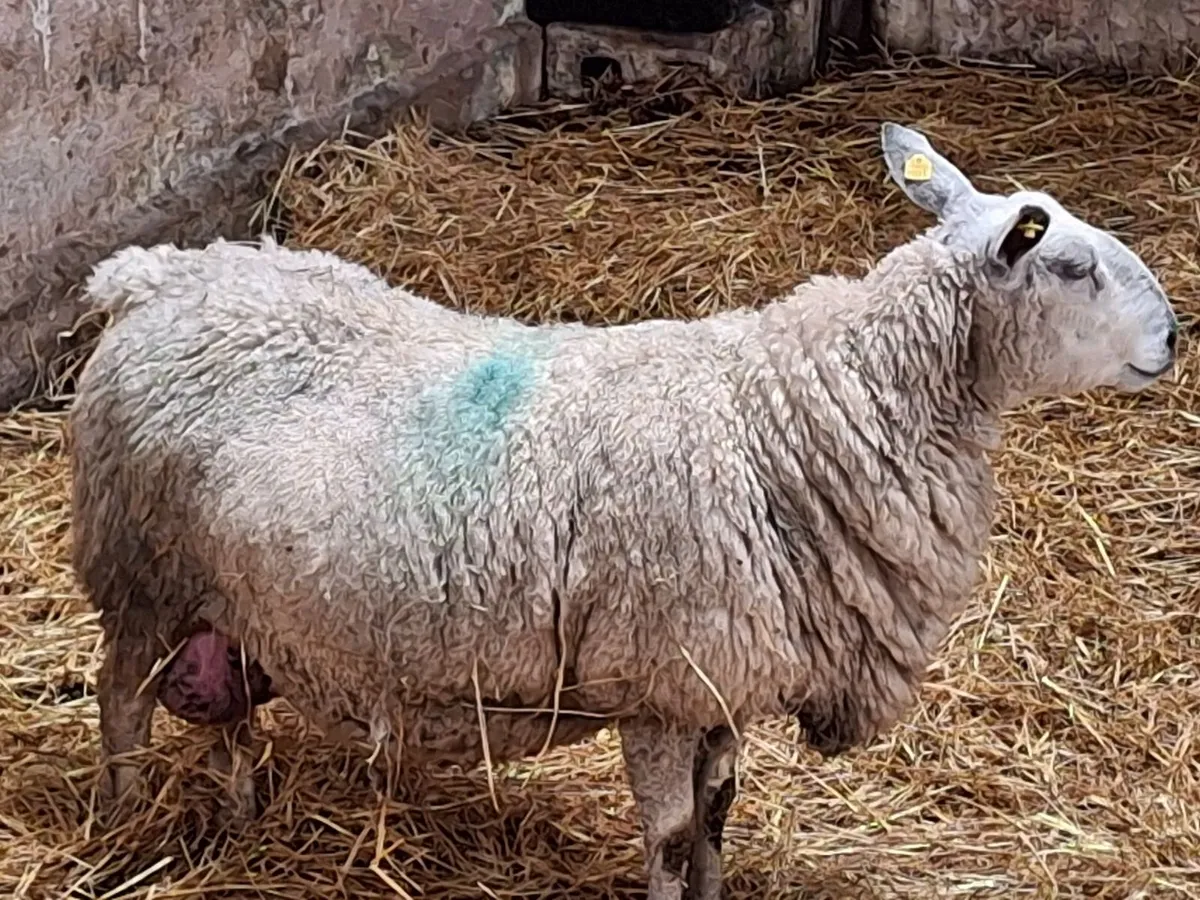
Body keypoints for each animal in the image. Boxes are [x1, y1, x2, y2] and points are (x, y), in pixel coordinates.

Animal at [69, 122, 1178, 900]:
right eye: (1071, 265)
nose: (1172, 340)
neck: (808, 407)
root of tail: (155, 274)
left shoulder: (722, 683)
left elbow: (719, 821)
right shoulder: (660, 683)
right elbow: (675, 837)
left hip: (223, 593)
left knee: (218, 710)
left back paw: (241, 812)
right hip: (140, 566)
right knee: (121, 699)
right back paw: (122, 820)